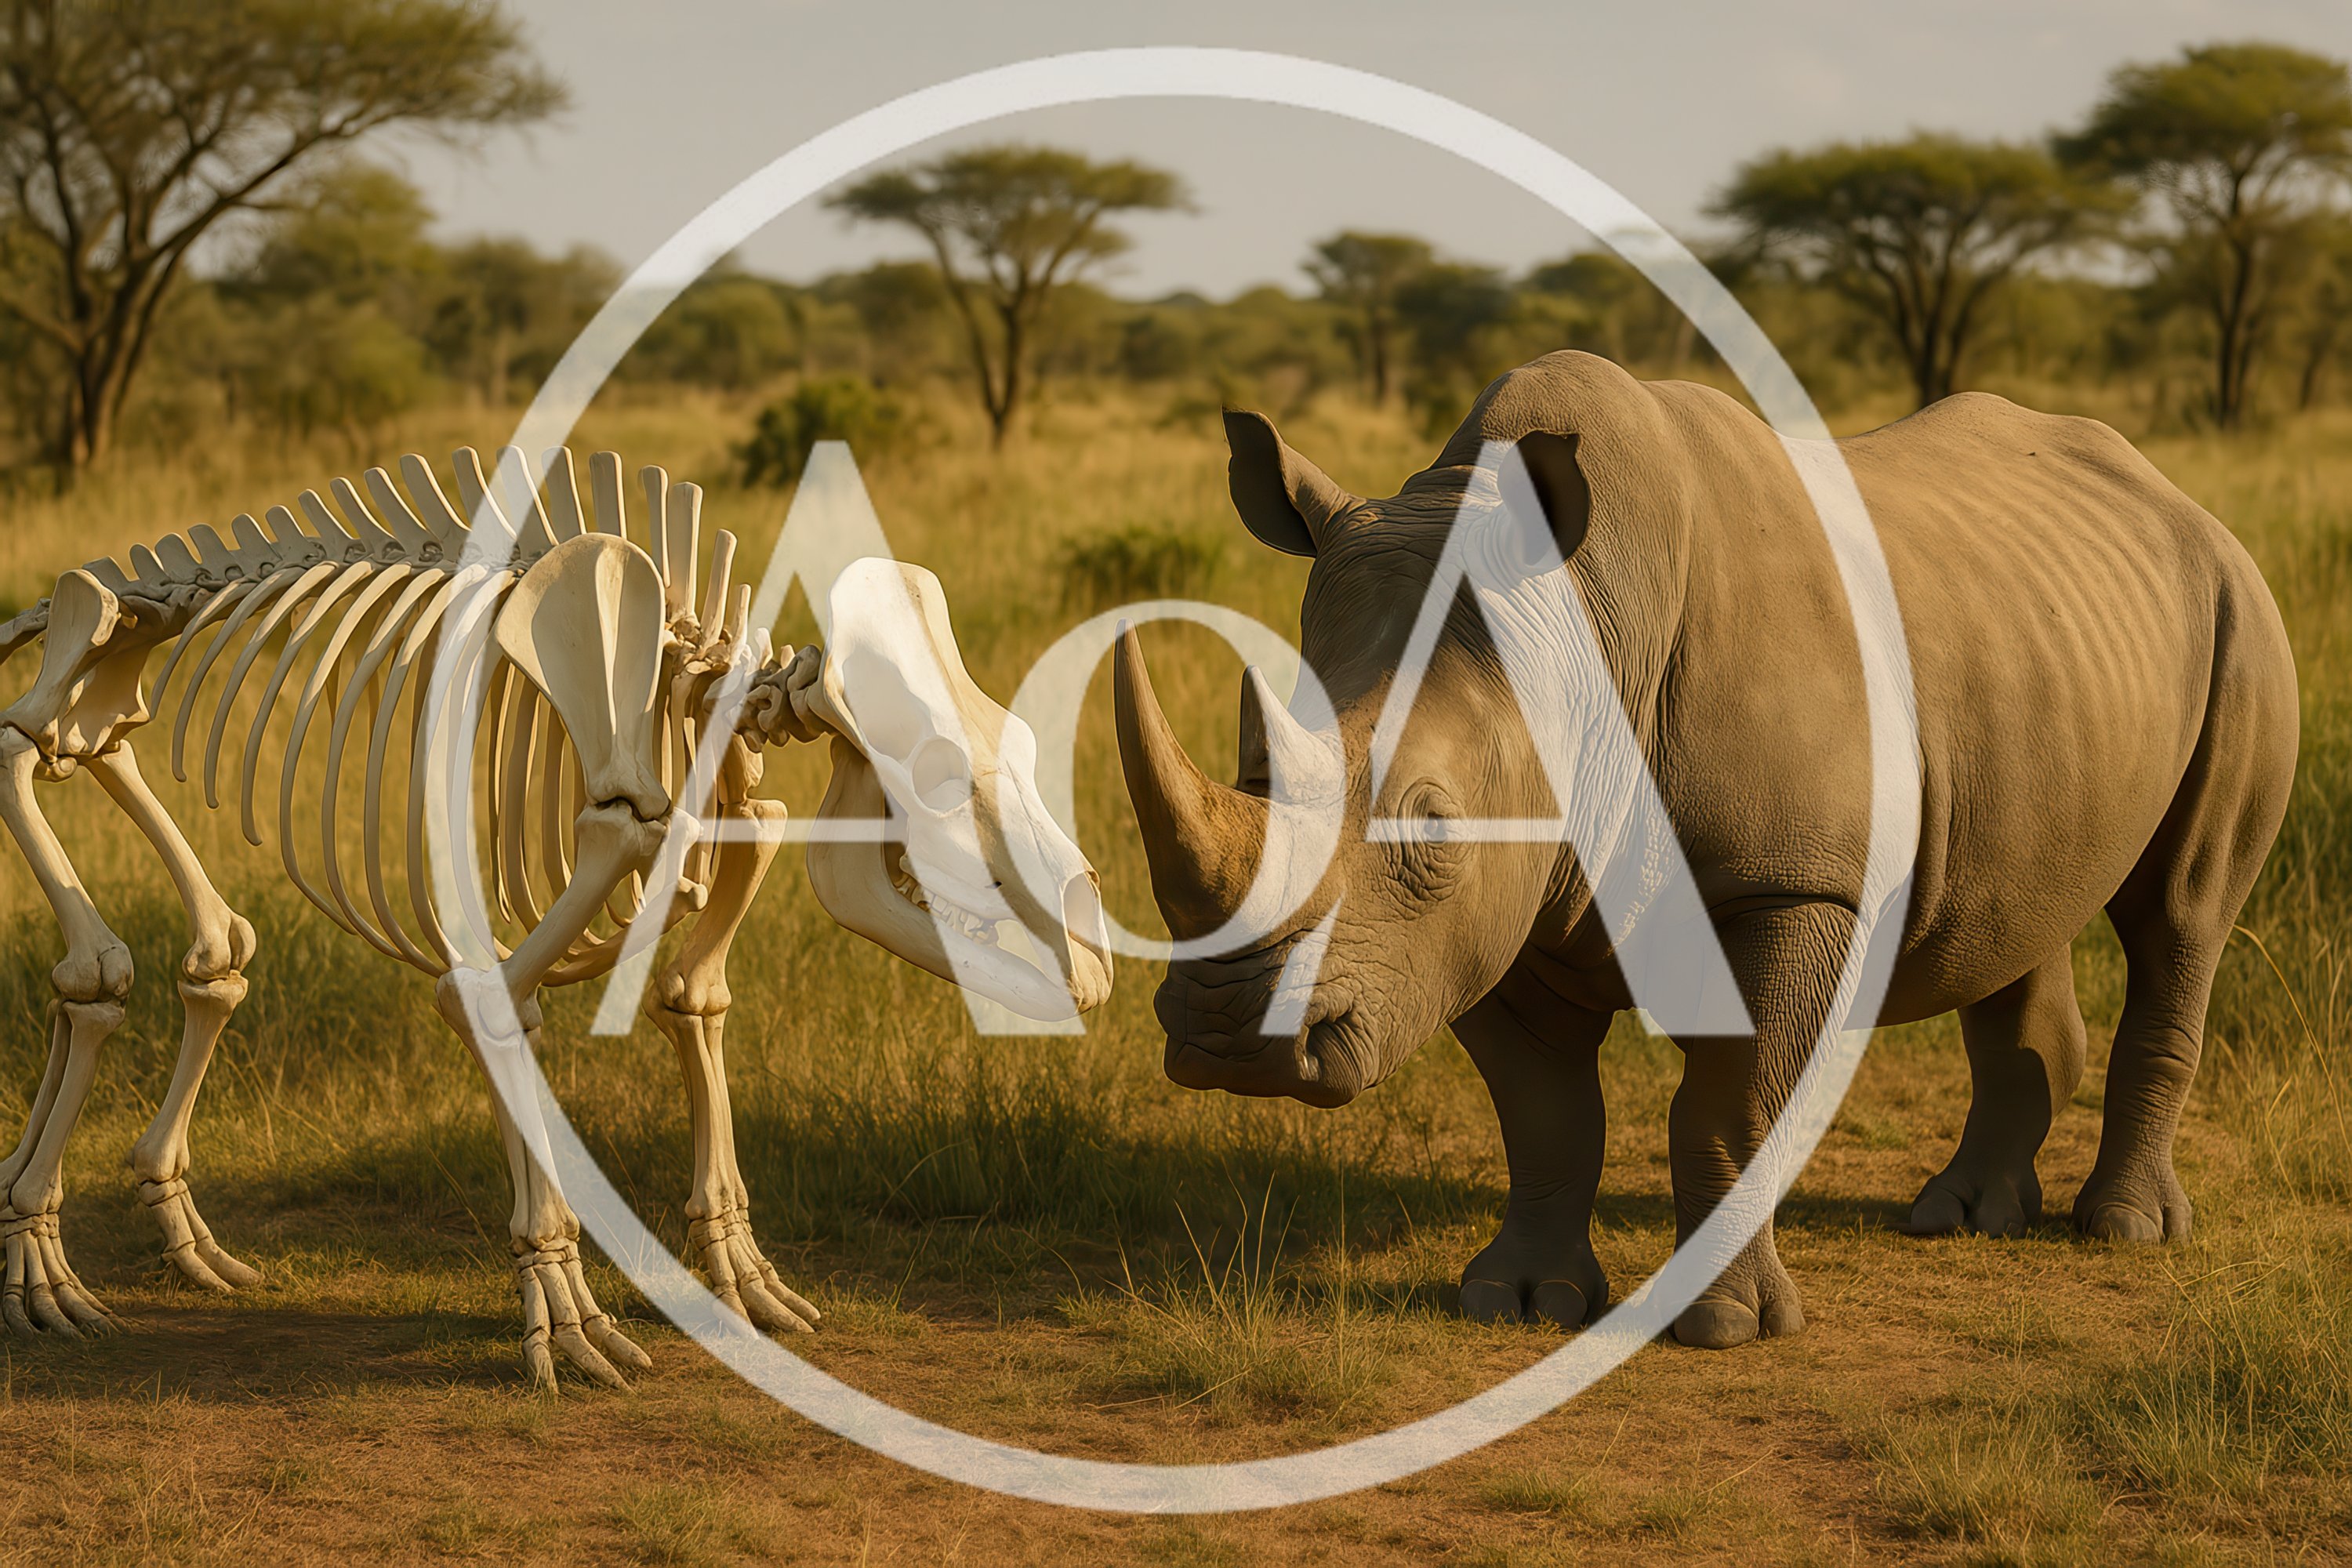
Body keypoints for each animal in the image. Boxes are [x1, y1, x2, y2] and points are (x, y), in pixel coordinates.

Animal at [1113, 351, 2297, 1348]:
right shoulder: (1497, 912)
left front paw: (1724, 1327)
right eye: (1256, 773)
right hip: (2042, 651)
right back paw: (1963, 1217)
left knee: (2182, 915)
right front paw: (1517, 1299)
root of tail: (2178, 499)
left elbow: (1730, 1100)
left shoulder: (1790, 881)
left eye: (1432, 827)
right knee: (2016, 911)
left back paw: (2126, 1228)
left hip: (2239, 607)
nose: (1234, 1038)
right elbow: (1547, 1114)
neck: (1579, 626)